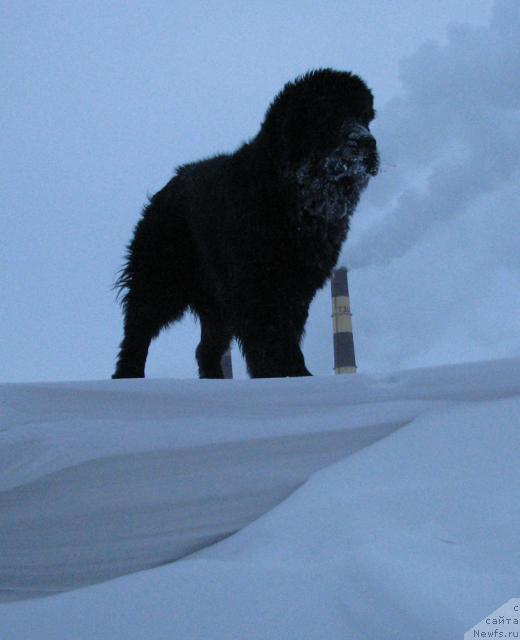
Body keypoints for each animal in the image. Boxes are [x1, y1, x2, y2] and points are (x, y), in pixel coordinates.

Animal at [112, 69, 378, 380]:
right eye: (329, 113)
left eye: (364, 116)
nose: (367, 142)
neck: (294, 200)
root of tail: (165, 189)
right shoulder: (256, 283)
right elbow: (272, 335)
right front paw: (281, 372)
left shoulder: (299, 284)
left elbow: (287, 330)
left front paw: (294, 372)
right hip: (162, 276)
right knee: (138, 325)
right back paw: (127, 373)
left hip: (216, 302)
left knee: (205, 348)